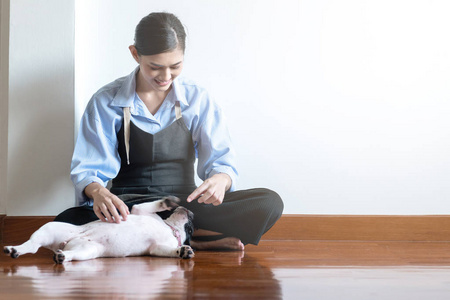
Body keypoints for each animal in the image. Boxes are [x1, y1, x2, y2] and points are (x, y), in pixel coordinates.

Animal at [3, 197, 195, 262]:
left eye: (191, 231)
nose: (191, 213)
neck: (170, 228)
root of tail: (66, 243)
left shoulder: (157, 248)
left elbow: (170, 250)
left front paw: (183, 251)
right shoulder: (140, 210)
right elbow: (158, 203)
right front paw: (168, 201)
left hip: (88, 251)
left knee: (67, 254)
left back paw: (61, 256)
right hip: (50, 228)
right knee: (33, 244)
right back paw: (14, 249)